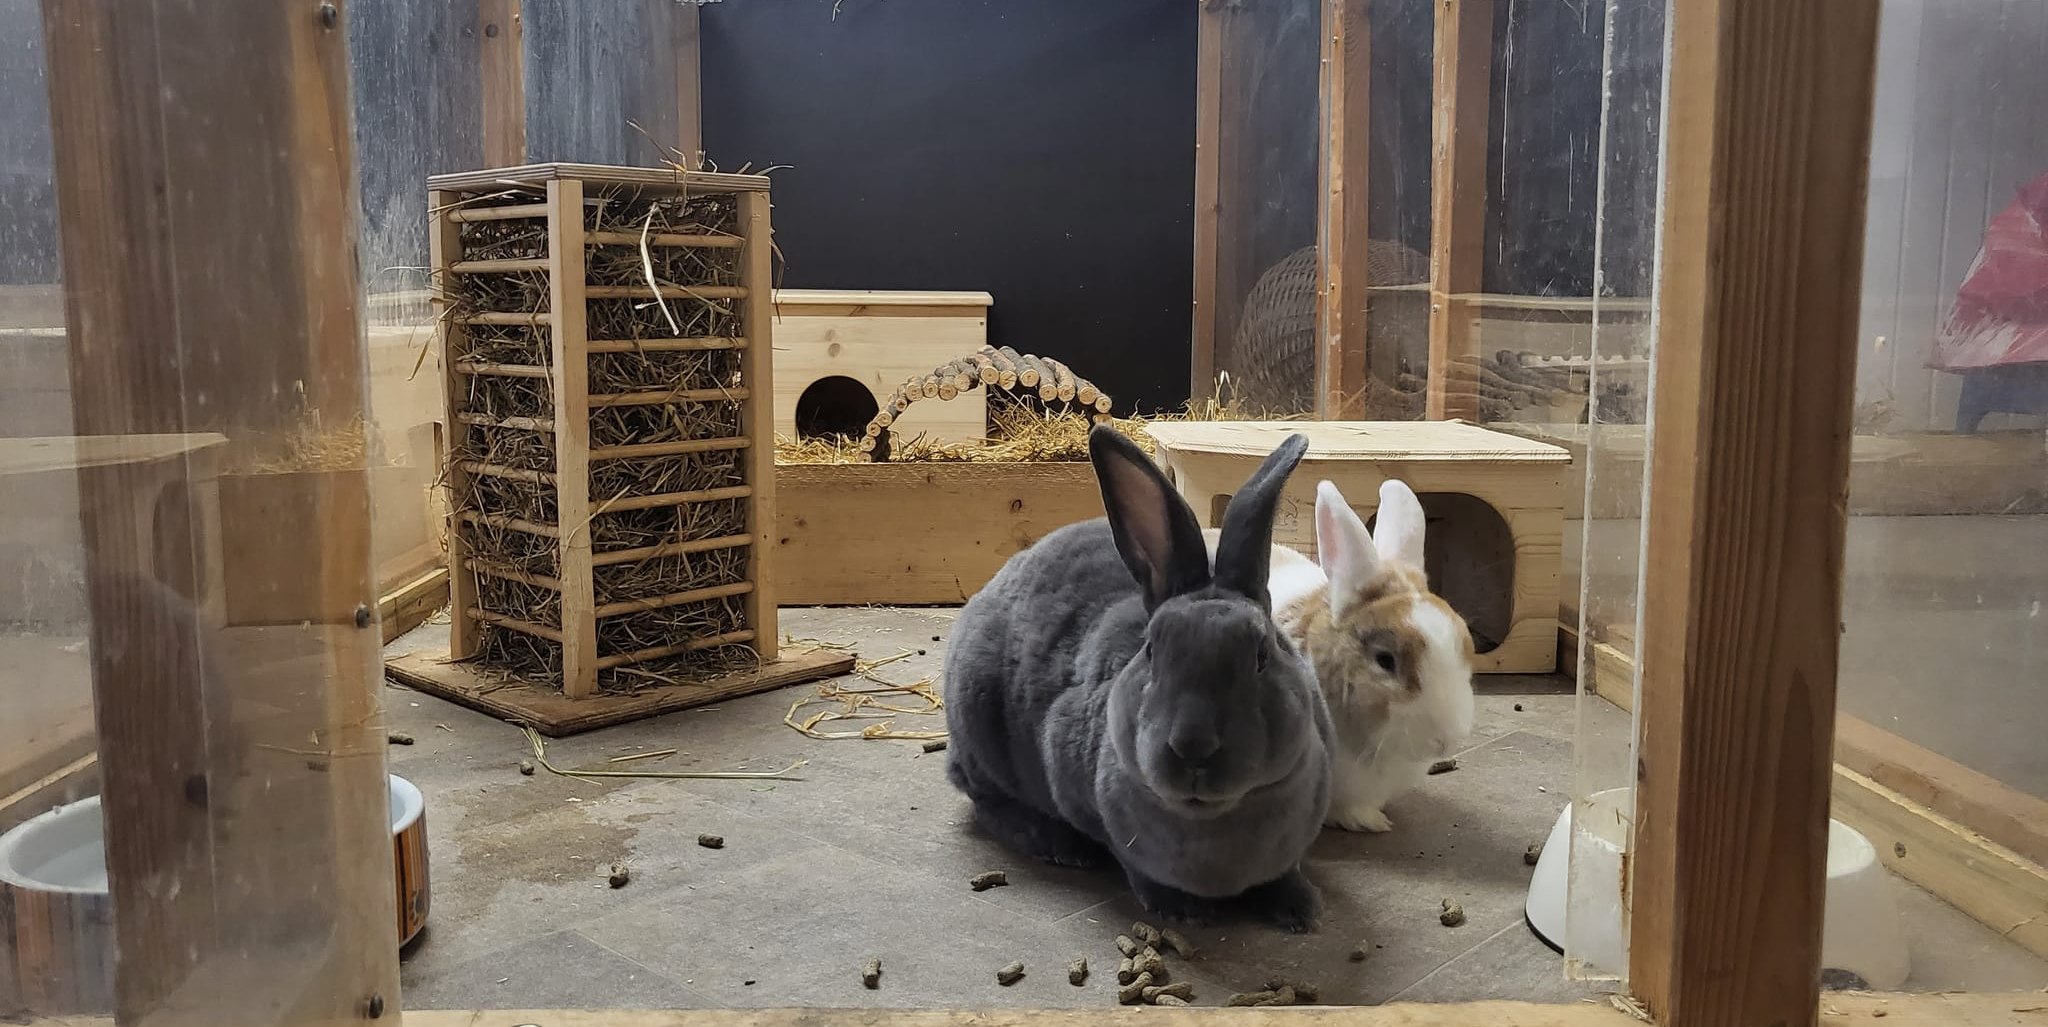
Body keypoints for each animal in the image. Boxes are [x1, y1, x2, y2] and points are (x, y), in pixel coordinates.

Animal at [944, 427, 1334, 930]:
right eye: (1151, 651)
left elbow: (1285, 873)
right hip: (977, 723)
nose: (1192, 748)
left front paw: (1302, 911)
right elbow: (1134, 867)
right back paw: (1057, 845)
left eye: (1262, 655)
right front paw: (1181, 910)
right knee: (983, 797)